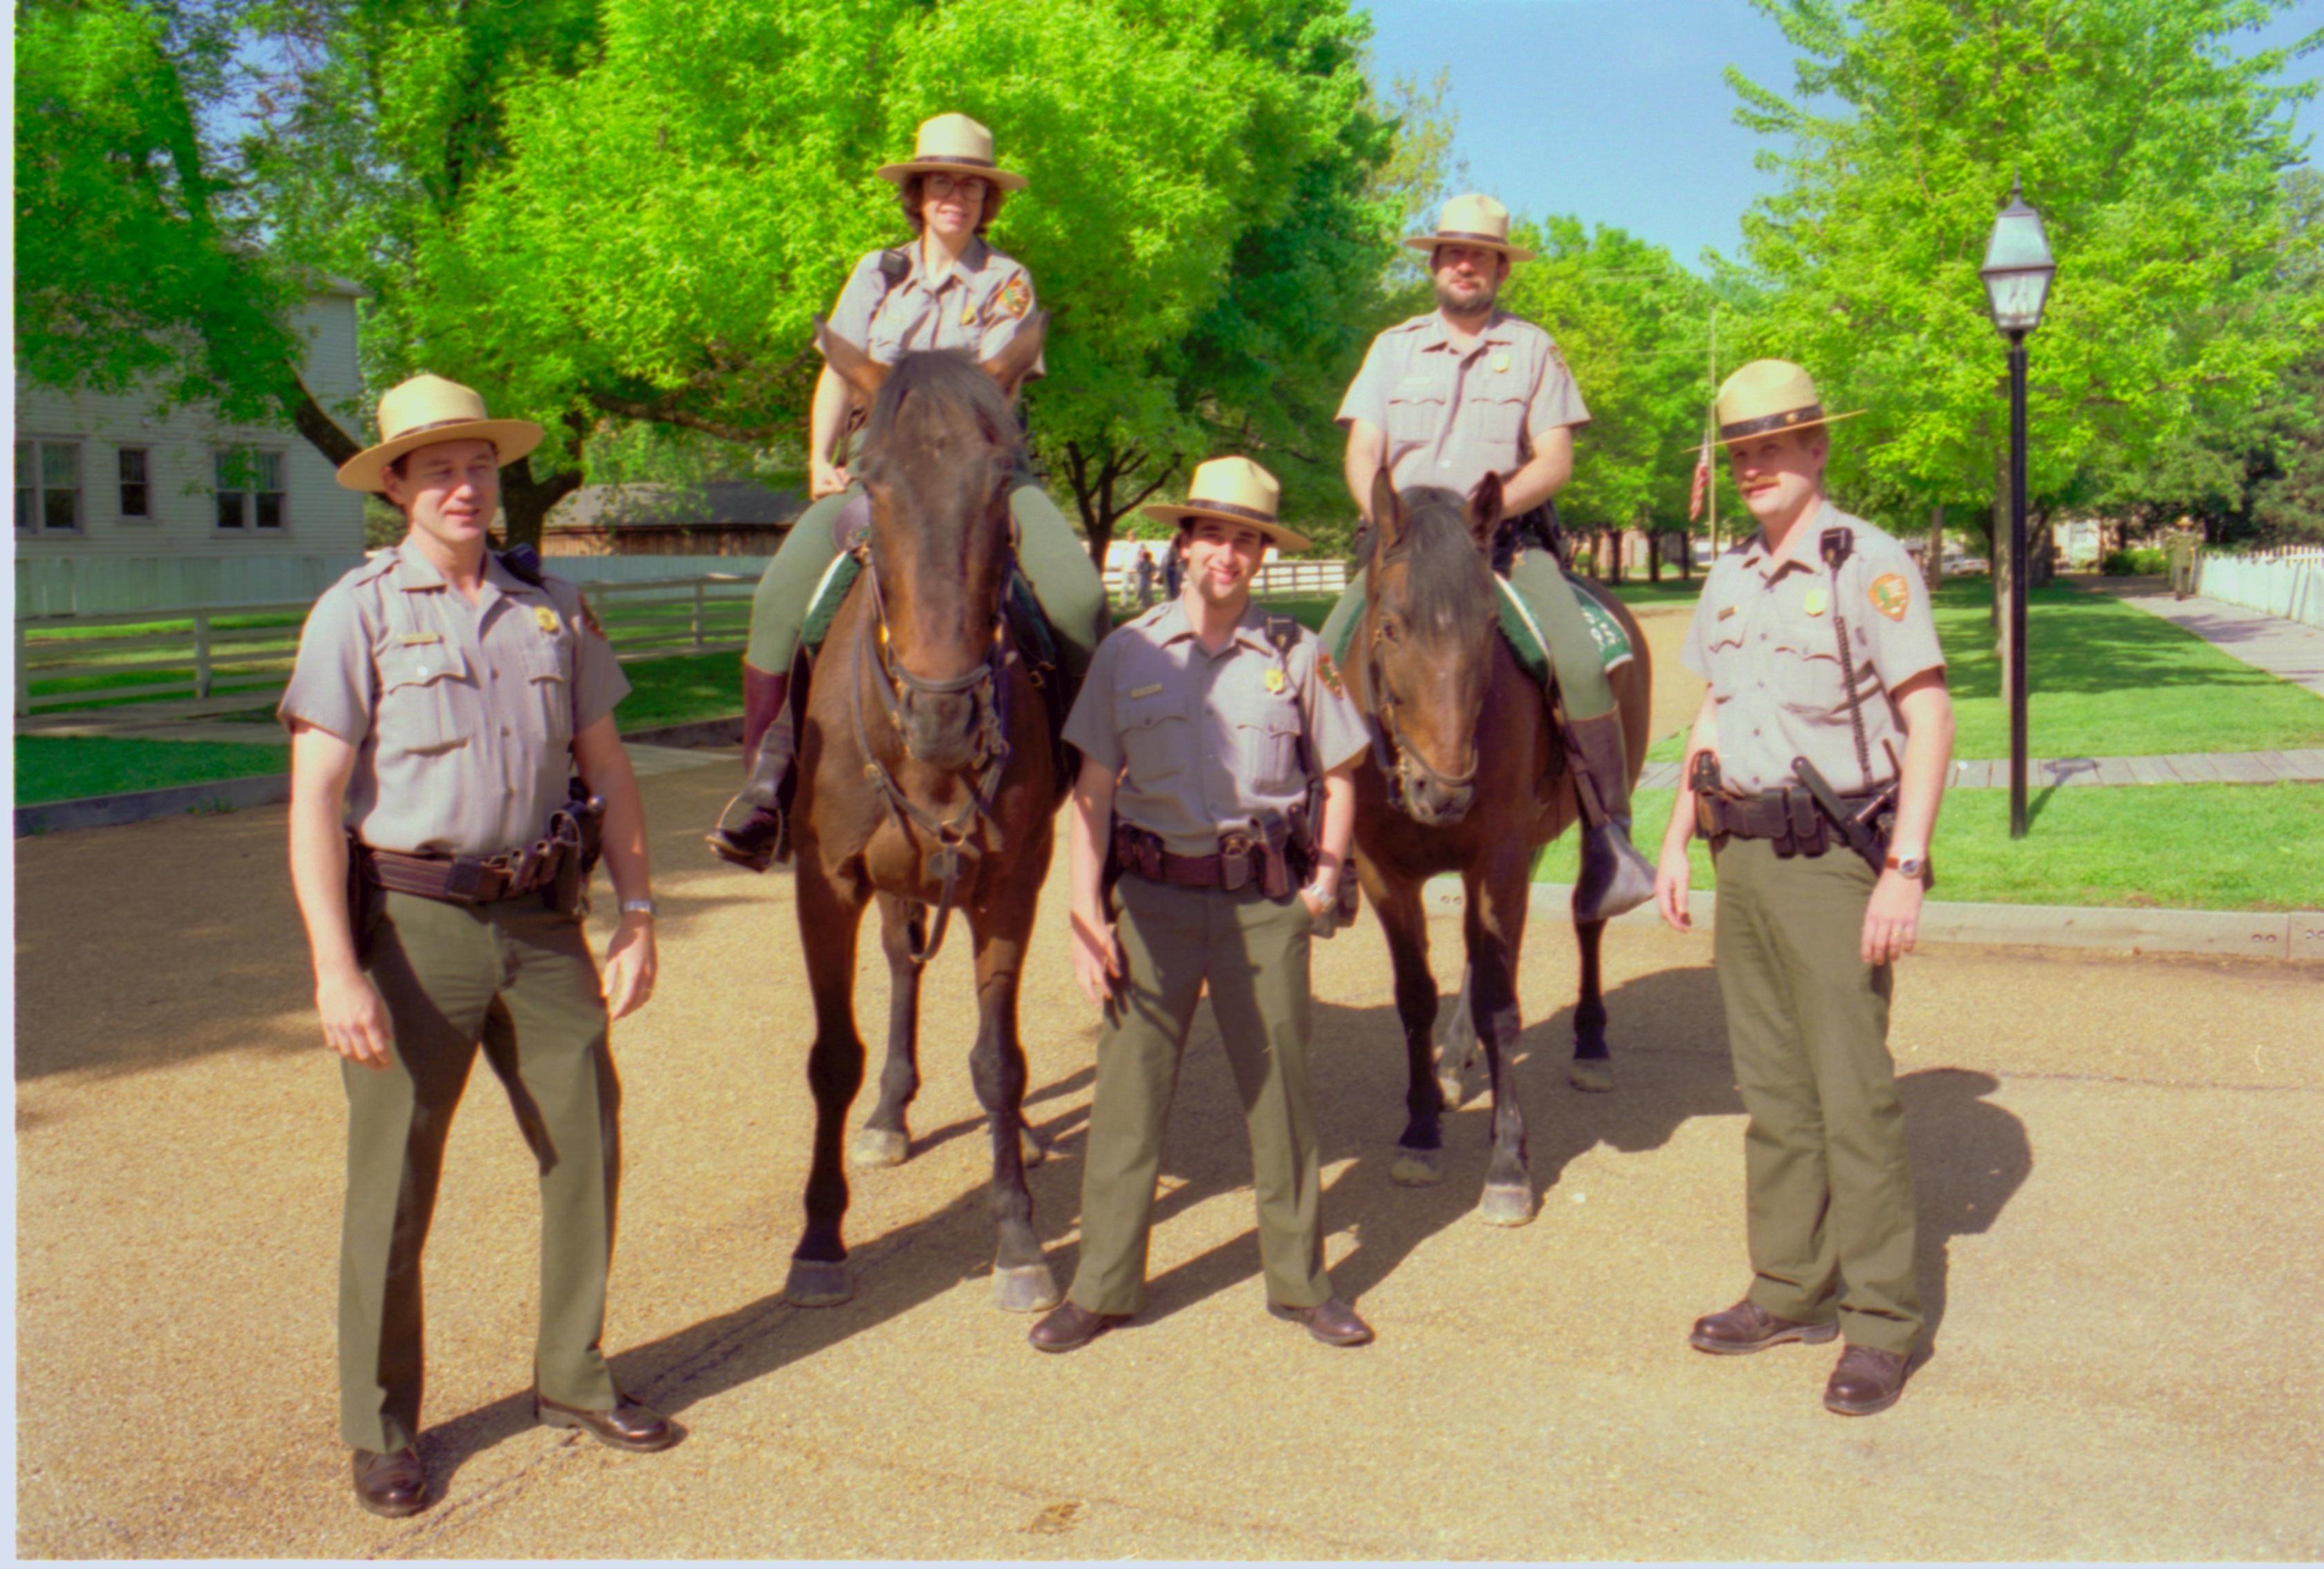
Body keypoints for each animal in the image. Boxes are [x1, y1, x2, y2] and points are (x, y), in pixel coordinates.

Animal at [781, 318, 1069, 1310]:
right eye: (871, 480)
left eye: (1003, 481)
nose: (943, 718)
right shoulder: (825, 883)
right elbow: (832, 1054)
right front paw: (819, 1240)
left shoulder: (1008, 886)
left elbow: (999, 1060)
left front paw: (1017, 1237)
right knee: (900, 971)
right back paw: (887, 1115)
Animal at [1348, 472, 1654, 1237]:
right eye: (1390, 627)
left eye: (1489, 628)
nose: (1444, 790)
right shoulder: (1383, 873)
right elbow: (1415, 998)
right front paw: (1421, 1129)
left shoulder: (1501, 859)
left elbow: (1500, 1004)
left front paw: (1509, 1164)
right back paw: (1456, 1060)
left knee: (1587, 917)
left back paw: (1590, 1042)